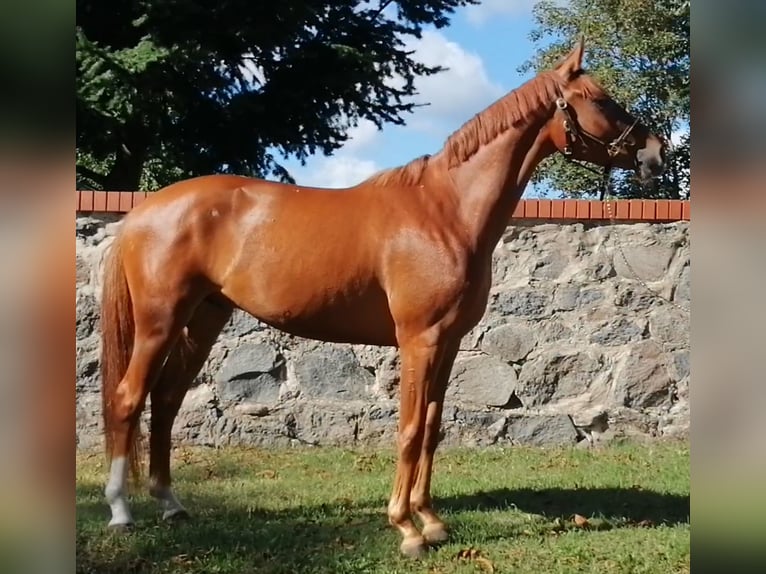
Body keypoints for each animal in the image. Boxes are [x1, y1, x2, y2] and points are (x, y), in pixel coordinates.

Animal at [98, 38, 665, 558]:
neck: (445, 211)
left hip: (203, 320)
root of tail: (145, 211)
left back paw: (171, 505)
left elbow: (433, 428)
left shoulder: (448, 344)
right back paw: (120, 512)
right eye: (601, 99)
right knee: (128, 398)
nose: (654, 153)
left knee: (166, 400)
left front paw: (431, 520)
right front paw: (406, 528)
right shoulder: (419, 340)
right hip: (159, 322)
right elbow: (410, 428)